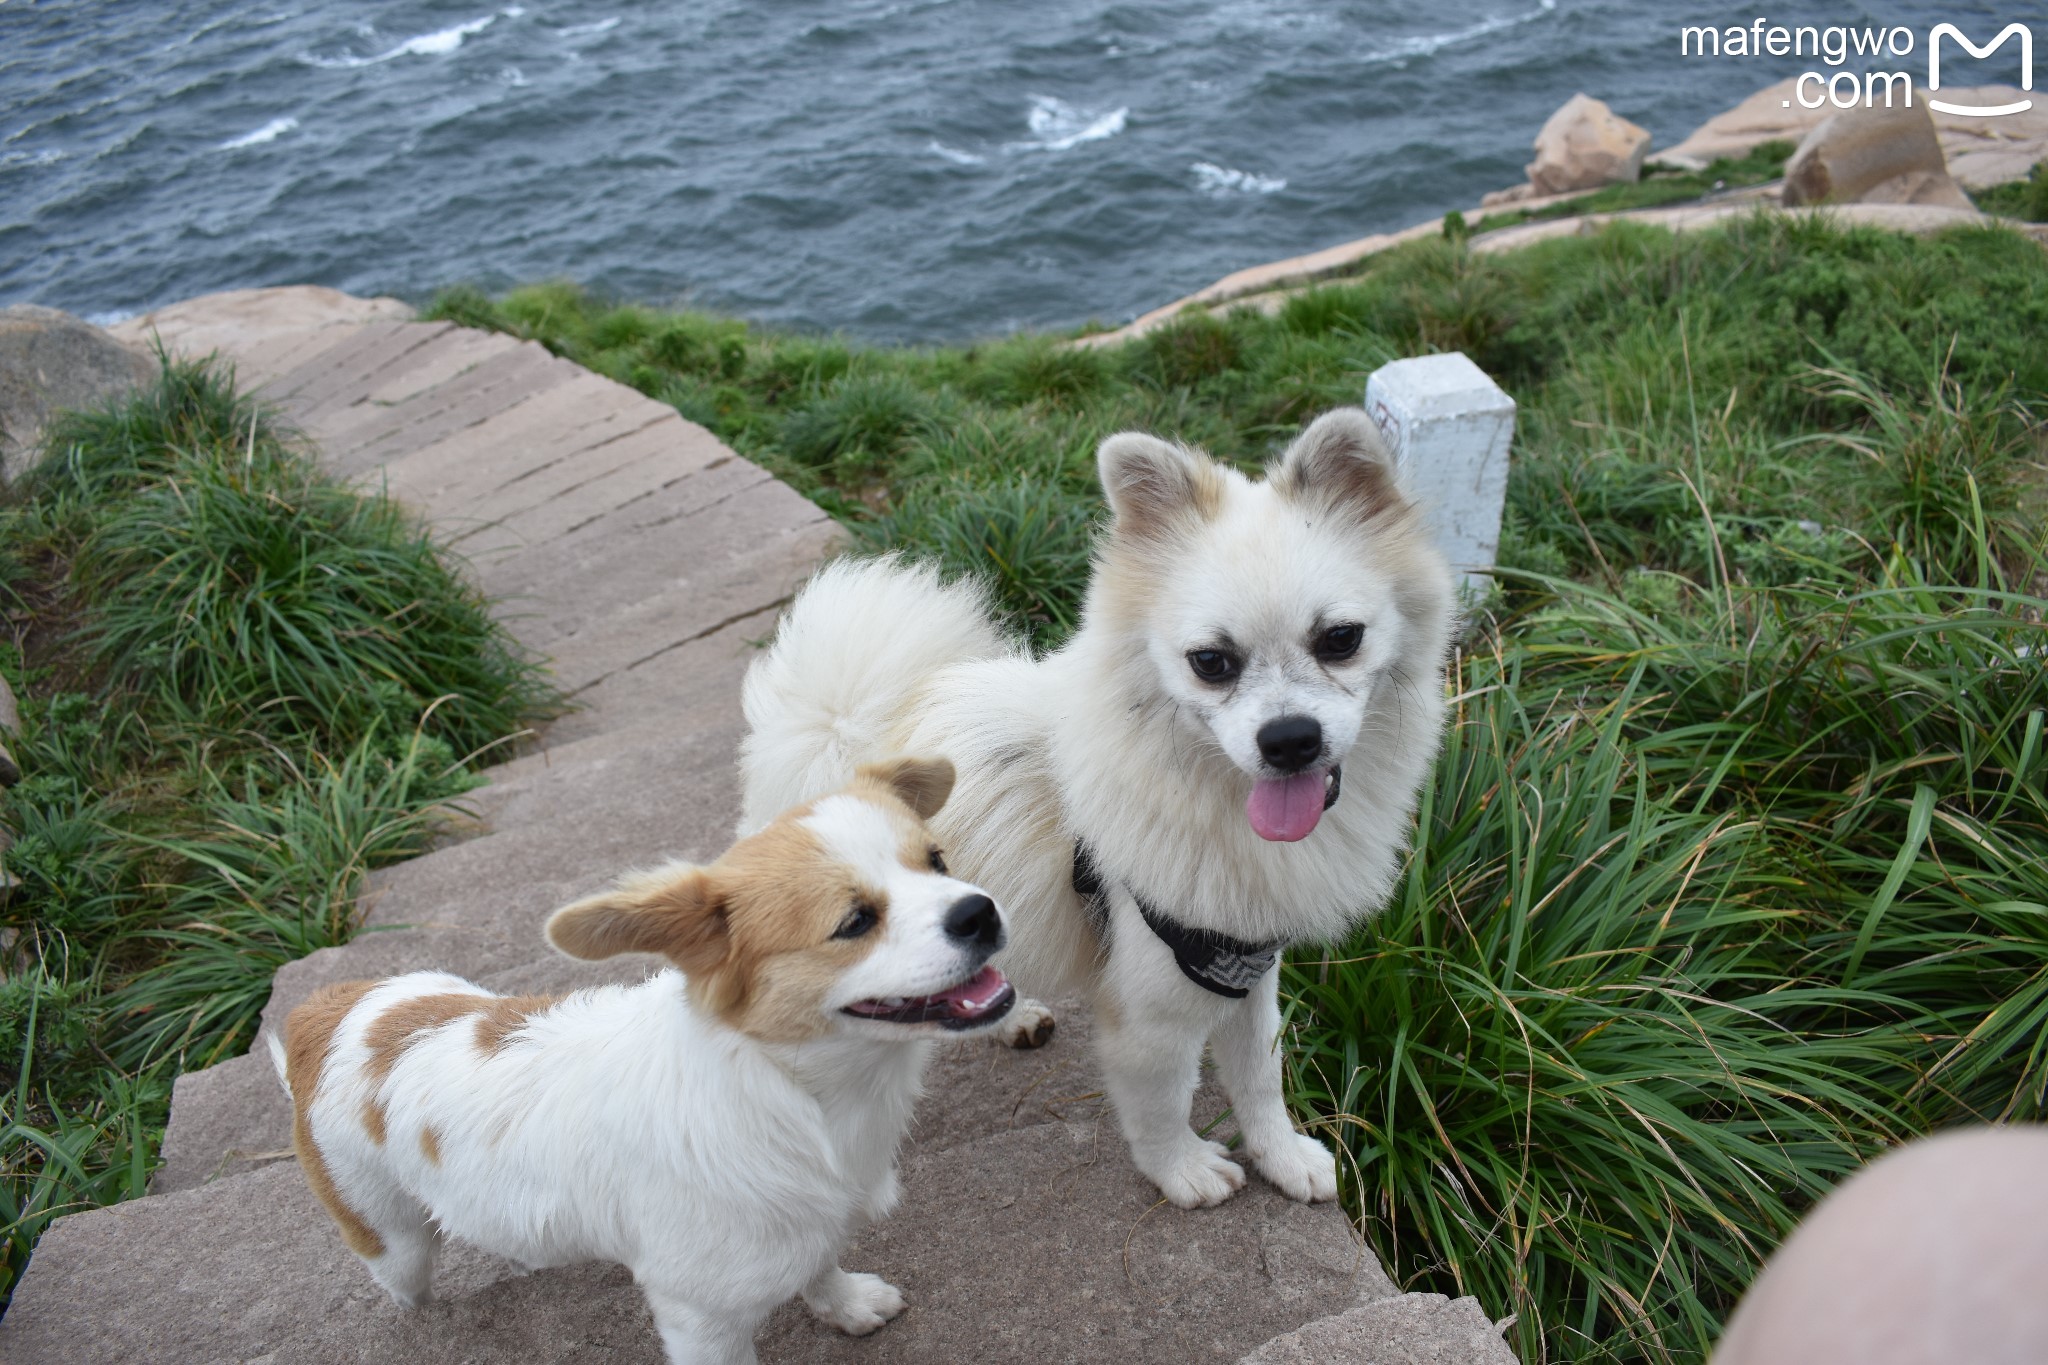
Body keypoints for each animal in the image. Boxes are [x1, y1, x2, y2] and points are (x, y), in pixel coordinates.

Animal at [264, 757, 1015, 1365]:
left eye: (938, 860)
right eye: (855, 921)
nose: (981, 911)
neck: (796, 1092)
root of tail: (325, 1013)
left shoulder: (806, 1227)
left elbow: (820, 1265)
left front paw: (846, 1305)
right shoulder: (701, 1319)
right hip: (392, 1241)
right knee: (405, 1278)